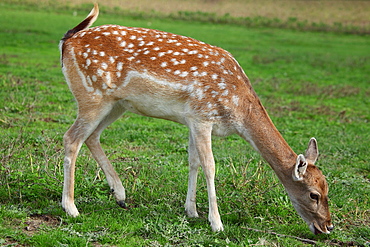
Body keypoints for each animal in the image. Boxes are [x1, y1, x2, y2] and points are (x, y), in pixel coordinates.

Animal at [60, 4, 332, 235]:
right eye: (313, 194)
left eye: (327, 187)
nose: (328, 227)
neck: (237, 110)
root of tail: (67, 41)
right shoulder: (203, 116)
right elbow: (210, 166)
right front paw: (216, 223)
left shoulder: (191, 119)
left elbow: (193, 161)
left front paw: (191, 211)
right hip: (92, 96)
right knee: (71, 138)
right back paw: (71, 207)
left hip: (116, 104)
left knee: (92, 136)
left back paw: (120, 194)